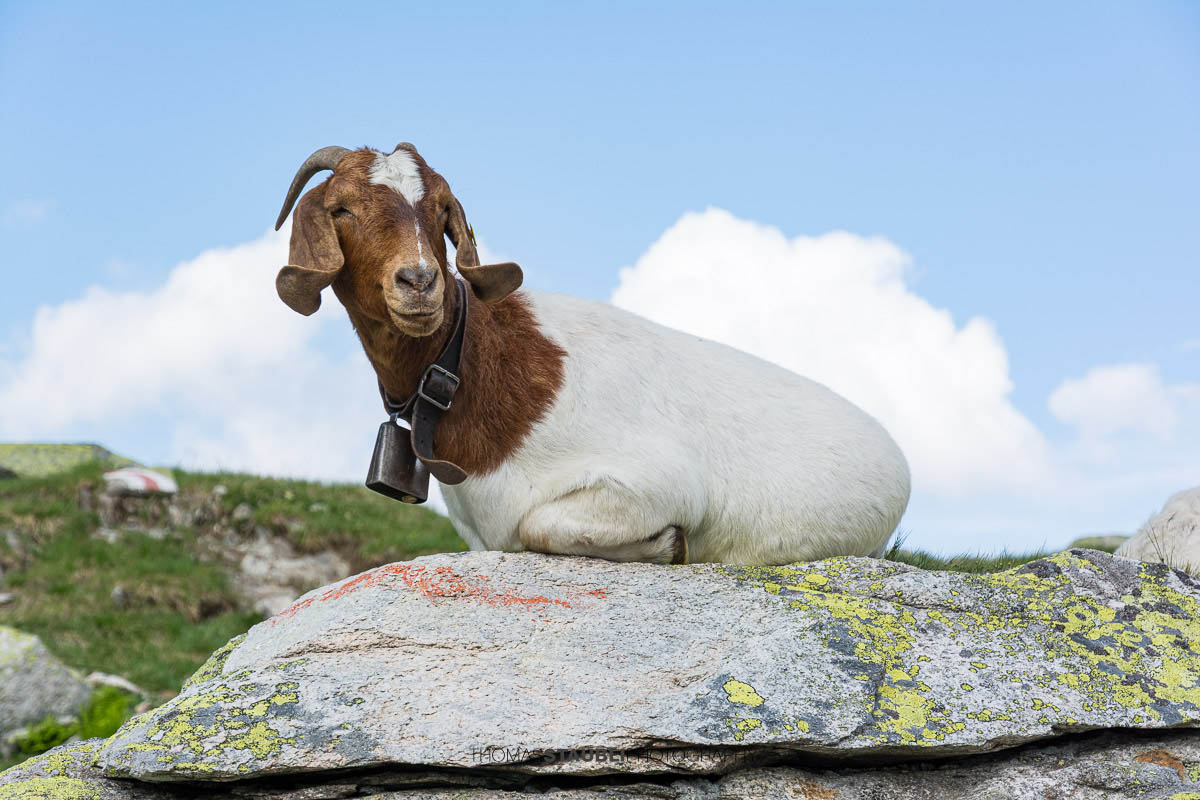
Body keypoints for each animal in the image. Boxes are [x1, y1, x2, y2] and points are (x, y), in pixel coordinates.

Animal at [274, 143, 911, 565]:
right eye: (342, 209)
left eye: (439, 211)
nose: (418, 282)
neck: (477, 368)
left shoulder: (650, 483)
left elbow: (540, 525)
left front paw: (668, 544)